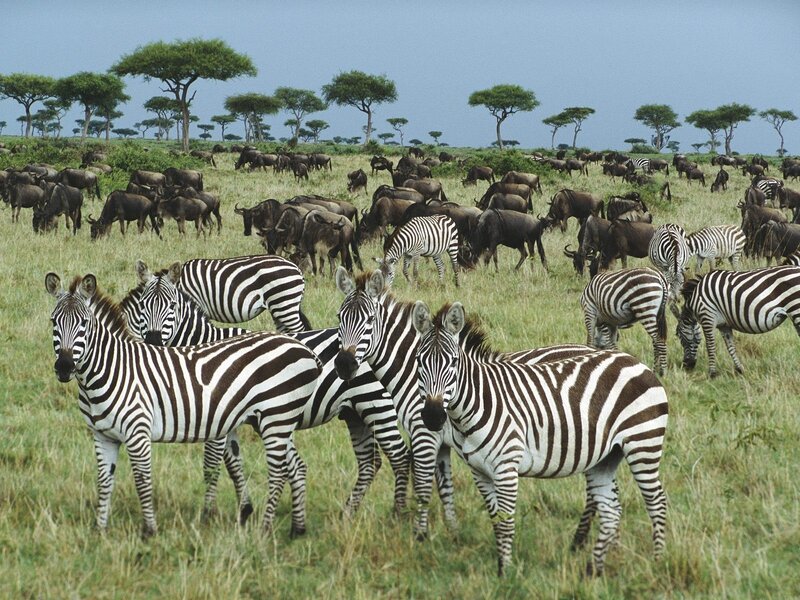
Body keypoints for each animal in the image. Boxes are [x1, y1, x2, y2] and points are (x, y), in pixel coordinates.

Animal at [45, 272, 321, 537]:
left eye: (84, 323)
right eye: (53, 322)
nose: (64, 367)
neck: (113, 369)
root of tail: (302, 348)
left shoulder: (137, 432)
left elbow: (142, 481)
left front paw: (149, 531)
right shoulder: (103, 436)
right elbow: (104, 482)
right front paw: (99, 530)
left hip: (276, 418)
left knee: (277, 474)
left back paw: (264, 531)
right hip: (277, 420)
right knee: (295, 468)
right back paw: (297, 529)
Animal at [334, 267, 592, 539]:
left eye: (370, 320)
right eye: (339, 317)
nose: (343, 365)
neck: (415, 374)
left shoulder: (425, 432)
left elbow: (423, 483)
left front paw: (420, 534)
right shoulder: (442, 439)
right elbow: (444, 485)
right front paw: (453, 530)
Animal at [411, 301, 668, 576]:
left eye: (453, 362)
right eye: (418, 361)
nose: (433, 416)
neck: (478, 402)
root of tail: (635, 362)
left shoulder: (506, 468)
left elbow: (506, 523)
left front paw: (506, 574)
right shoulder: (479, 471)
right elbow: (495, 520)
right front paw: (500, 568)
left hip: (643, 444)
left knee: (657, 503)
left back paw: (657, 563)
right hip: (606, 458)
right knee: (611, 512)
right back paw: (593, 572)